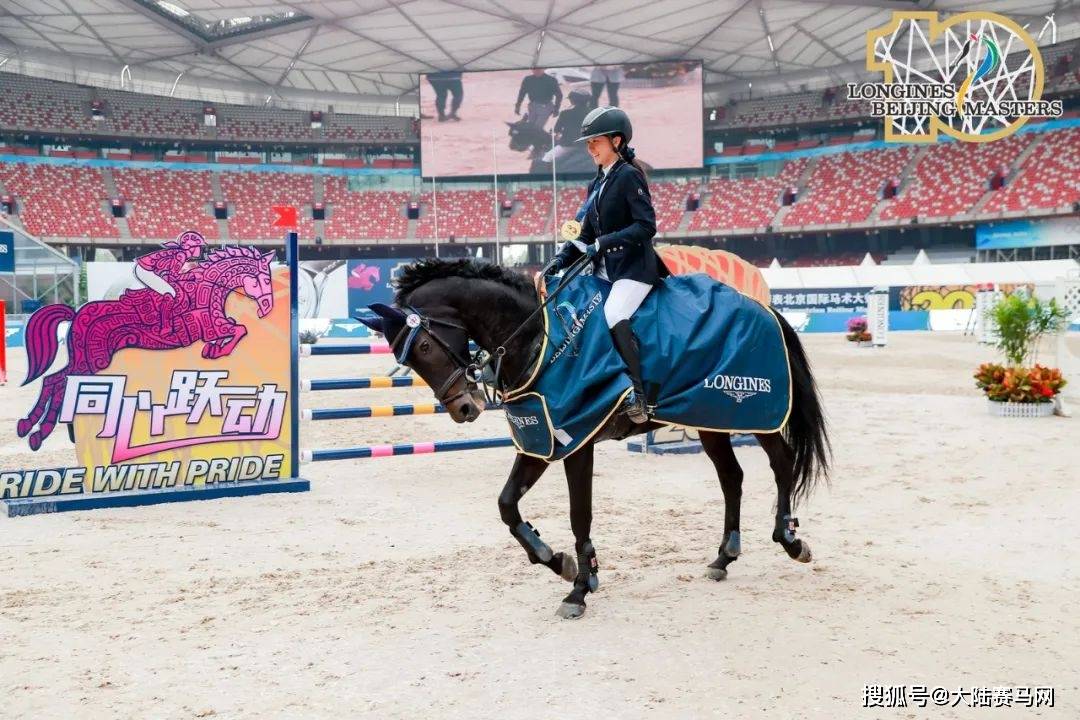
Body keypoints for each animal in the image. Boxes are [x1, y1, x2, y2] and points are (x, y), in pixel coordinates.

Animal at [17, 246, 274, 451]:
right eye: (262, 280)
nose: (267, 307)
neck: (210, 287)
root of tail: (76, 314)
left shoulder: (217, 327)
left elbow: (236, 331)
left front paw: (213, 352)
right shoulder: (214, 326)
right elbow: (239, 329)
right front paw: (217, 351)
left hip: (83, 361)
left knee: (52, 380)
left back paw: (29, 428)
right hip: (91, 362)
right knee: (61, 384)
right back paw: (41, 431)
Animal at [358, 257, 829, 621]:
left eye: (423, 349)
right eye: (408, 358)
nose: (463, 409)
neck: (540, 335)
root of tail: (764, 308)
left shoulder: (577, 440)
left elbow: (578, 514)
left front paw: (579, 590)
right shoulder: (543, 439)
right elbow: (507, 505)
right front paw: (558, 562)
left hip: (758, 414)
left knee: (782, 463)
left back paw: (790, 540)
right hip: (710, 420)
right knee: (732, 478)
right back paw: (724, 557)